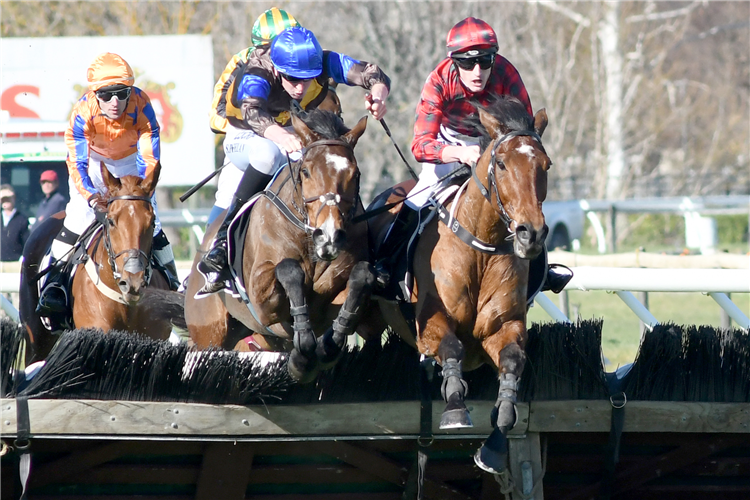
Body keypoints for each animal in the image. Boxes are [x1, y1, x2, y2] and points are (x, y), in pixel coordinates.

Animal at [185, 109, 376, 382]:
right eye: (306, 171)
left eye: (355, 174)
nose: (329, 235)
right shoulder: (261, 297)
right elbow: (288, 270)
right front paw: (303, 351)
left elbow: (361, 276)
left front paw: (325, 347)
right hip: (208, 331)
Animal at [370, 96, 552, 472]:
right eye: (501, 163)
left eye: (546, 164)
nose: (531, 233)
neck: (482, 247)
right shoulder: (431, 322)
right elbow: (451, 347)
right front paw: (455, 408)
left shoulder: (504, 327)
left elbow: (512, 362)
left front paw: (496, 441)